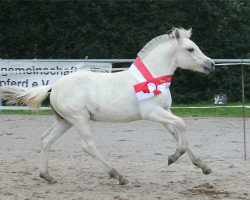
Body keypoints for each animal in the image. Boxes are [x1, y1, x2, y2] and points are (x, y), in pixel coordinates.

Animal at [0, 27, 215, 185]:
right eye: (190, 49)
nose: (211, 64)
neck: (151, 77)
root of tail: (54, 85)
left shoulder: (164, 113)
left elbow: (177, 133)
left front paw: (202, 166)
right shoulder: (152, 113)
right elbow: (182, 125)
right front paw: (173, 157)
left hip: (65, 121)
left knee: (46, 140)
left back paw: (48, 176)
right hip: (79, 119)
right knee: (88, 146)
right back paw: (119, 176)